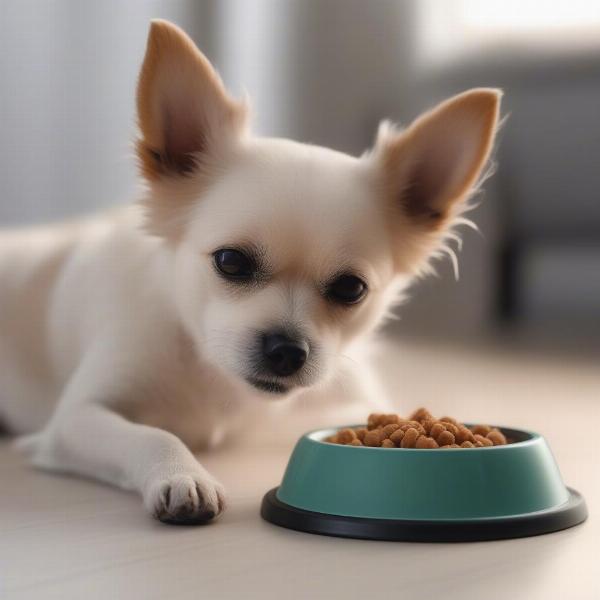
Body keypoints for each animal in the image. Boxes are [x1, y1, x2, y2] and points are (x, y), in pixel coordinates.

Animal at [0, 21, 502, 524]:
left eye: (350, 288)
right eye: (231, 262)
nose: (287, 350)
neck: (216, 378)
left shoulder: (347, 404)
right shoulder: (74, 421)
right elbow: (153, 435)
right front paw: (182, 475)